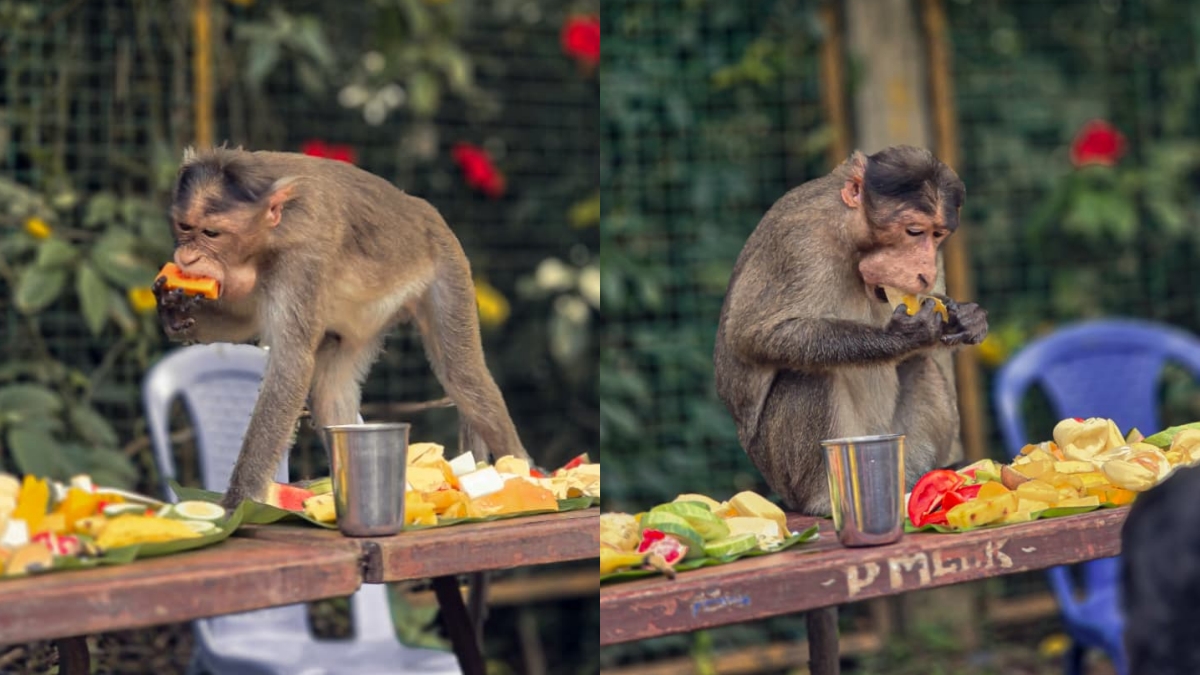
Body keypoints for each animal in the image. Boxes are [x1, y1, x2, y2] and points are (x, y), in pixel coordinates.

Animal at [153, 147, 532, 507]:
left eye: (211, 233)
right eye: (185, 227)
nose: (186, 258)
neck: (270, 235)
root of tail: (425, 210)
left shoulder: (302, 259)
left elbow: (291, 364)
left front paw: (238, 501)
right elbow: (247, 321)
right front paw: (174, 310)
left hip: (447, 263)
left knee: (464, 377)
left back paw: (523, 473)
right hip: (366, 320)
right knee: (330, 385)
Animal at [712, 145, 988, 517]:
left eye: (937, 235)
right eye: (914, 231)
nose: (925, 272)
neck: (849, 235)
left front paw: (967, 319)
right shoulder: (801, 242)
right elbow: (753, 335)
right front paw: (903, 337)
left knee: (920, 365)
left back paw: (914, 479)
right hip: (781, 471)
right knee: (809, 375)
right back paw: (823, 499)